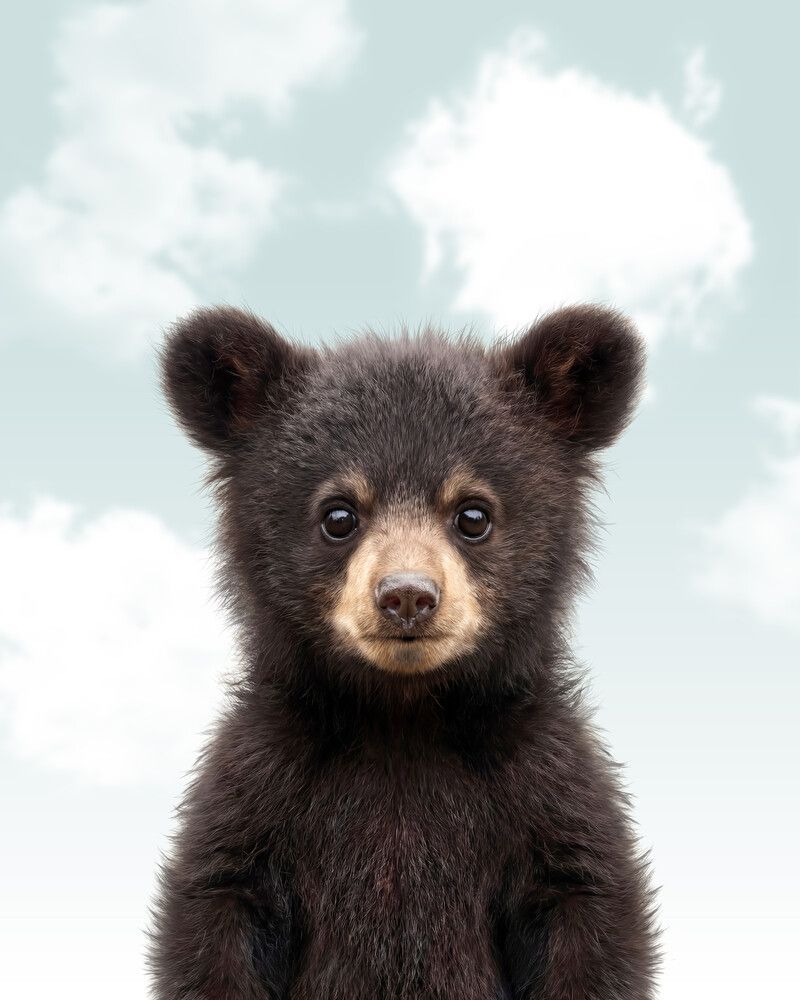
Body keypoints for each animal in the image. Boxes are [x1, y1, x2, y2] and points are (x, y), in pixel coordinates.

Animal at [149, 304, 659, 999]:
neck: (402, 718)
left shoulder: (546, 787)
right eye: (339, 515)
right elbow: (217, 909)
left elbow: (586, 907)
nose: (408, 596)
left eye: (473, 514)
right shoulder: (260, 787)